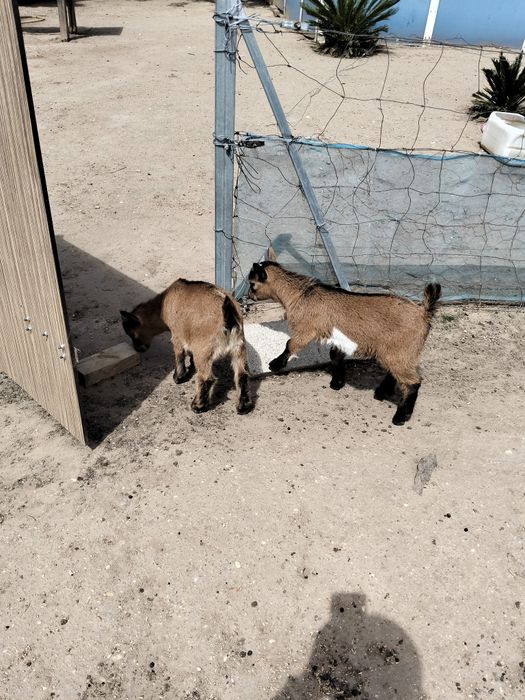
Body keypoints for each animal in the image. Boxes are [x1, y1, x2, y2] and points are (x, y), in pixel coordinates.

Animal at [121, 280, 253, 414]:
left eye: (131, 333)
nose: (137, 349)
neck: (162, 305)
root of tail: (229, 318)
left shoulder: (177, 336)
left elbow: (179, 357)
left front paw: (178, 377)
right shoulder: (190, 338)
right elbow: (190, 354)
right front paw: (191, 366)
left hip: (204, 352)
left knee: (206, 378)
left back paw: (197, 406)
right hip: (239, 349)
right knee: (242, 375)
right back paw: (243, 407)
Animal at [248, 262, 441, 425]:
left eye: (252, 283)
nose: (249, 296)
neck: (300, 294)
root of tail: (424, 313)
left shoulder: (307, 329)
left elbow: (290, 344)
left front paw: (275, 364)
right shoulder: (338, 339)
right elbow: (335, 356)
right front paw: (337, 382)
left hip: (401, 349)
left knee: (413, 382)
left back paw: (401, 416)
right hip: (396, 351)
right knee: (396, 372)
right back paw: (381, 393)